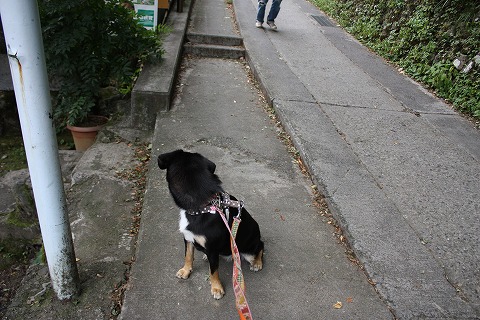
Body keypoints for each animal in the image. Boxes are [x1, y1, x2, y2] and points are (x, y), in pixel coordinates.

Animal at [158, 150, 264, 300]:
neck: (203, 206)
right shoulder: (188, 238)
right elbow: (188, 256)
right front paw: (186, 270)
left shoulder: (212, 250)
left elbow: (214, 271)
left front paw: (216, 288)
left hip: (249, 249)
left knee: (261, 246)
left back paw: (257, 263)